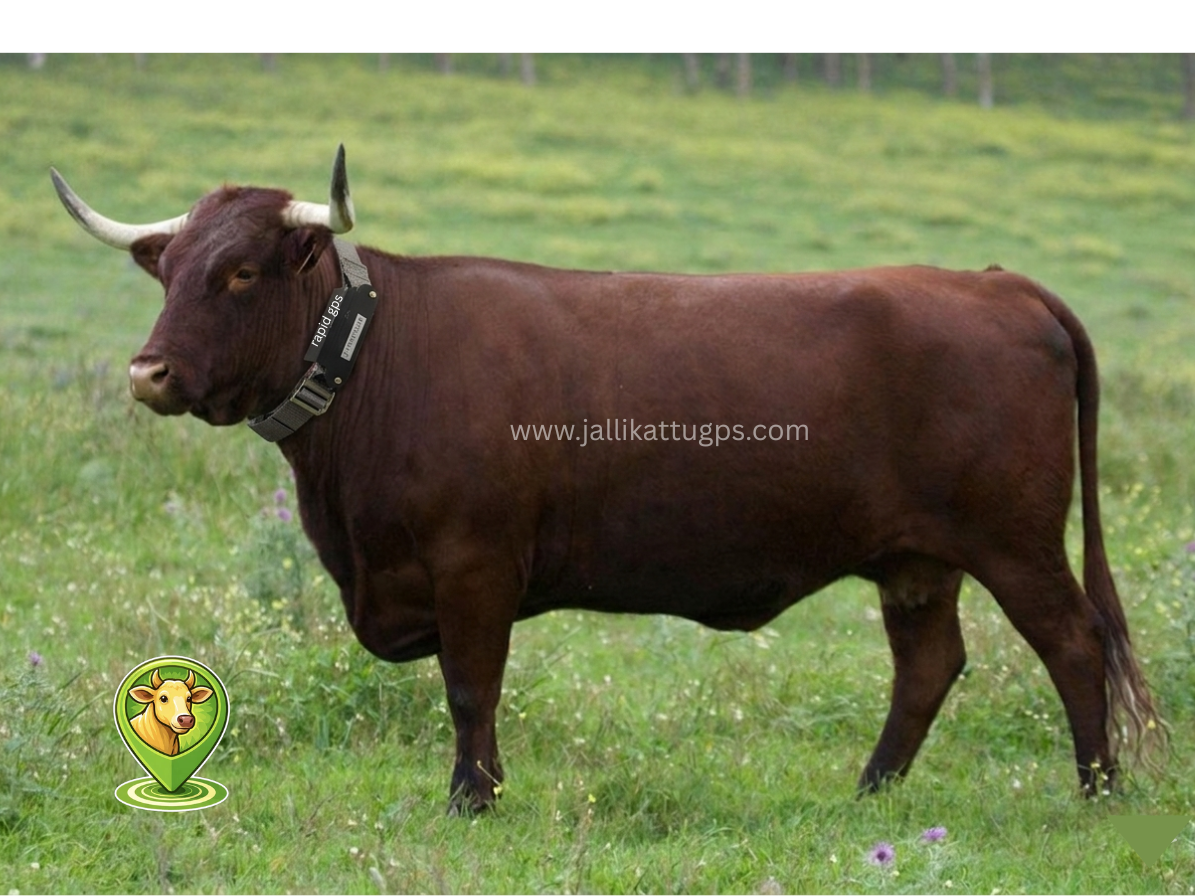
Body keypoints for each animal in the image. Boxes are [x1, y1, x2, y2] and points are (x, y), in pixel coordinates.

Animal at [52, 147, 1162, 814]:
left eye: (240, 271)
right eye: (168, 269)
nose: (149, 374)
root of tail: (991, 281)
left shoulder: (473, 563)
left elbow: (470, 686)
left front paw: (472, 799)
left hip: (1013, 540)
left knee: (1071, 642)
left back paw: (1097, 794)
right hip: (916, 559)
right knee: (929, 665)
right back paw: (869, 795)